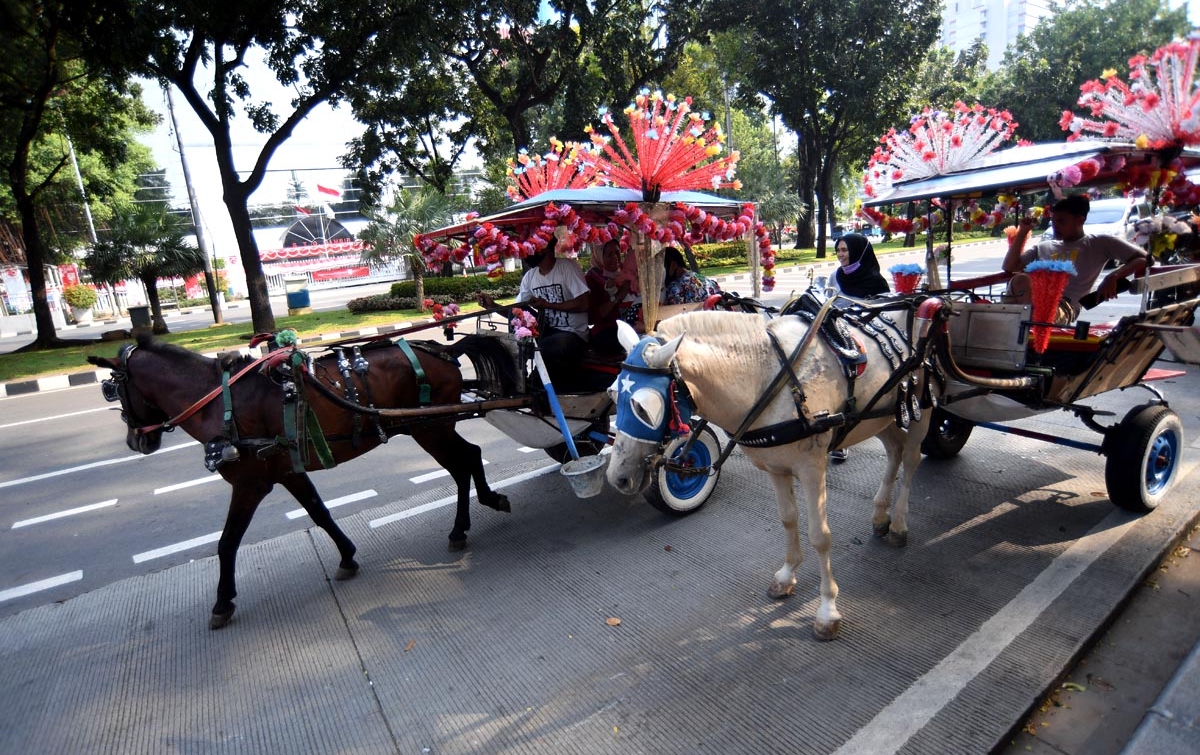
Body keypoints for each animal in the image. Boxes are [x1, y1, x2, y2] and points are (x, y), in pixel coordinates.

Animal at [87, 333, 511, 628]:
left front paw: (223, 601)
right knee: (470, 457)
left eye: (115, 390)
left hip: (430, 428)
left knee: (463, 462)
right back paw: (480, 508)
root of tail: (443, 350)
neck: (220, 403)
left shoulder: (250, 484)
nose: (136, 442)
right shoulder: (288, 472)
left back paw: (467, 520)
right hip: (431, 427)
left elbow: (227, 543)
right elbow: (320, 514)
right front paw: (347, 556)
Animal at [609, 303, 936, 638]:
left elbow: (820, 536)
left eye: (642, 408)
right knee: (894, 452)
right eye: (612, 394)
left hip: (920, 409)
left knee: (910, 459)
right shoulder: (776, 468)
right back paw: (881, 514)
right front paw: (787, 575)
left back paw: (898, 523)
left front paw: (828, 608)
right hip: (881, 417)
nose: (617, 476)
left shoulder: (812, 467)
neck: (766, 376)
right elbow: (788, 520)